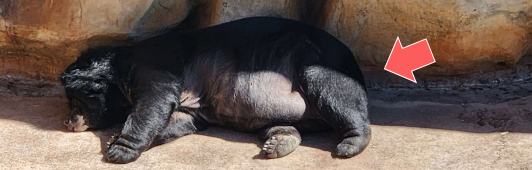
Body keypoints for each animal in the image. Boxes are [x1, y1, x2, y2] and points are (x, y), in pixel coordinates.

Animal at [59, 16, 370, 163]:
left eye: (76, 100)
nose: (67, 122)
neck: (120, 67)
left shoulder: (153, 64)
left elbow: (154, 99)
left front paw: (117, 149)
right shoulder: (187, 107)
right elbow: (178, 119)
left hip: (318, 62)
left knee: (336, 92)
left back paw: (350, 144)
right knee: (281, 125)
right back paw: (279, 142)